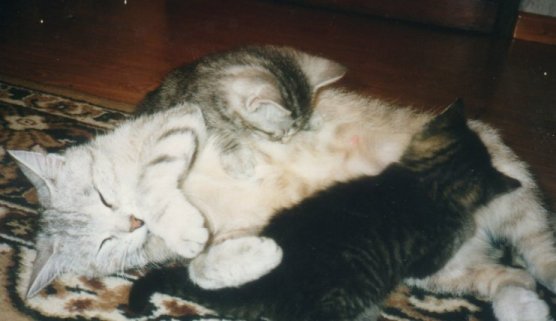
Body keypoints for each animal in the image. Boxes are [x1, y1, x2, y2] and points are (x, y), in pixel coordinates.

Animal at [136, 44, 344, 176]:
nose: (286, 140)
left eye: (295, 131)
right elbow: (221, 130)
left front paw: (312, 119)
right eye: (275, 134)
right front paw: (238, 157)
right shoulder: (195, 106)